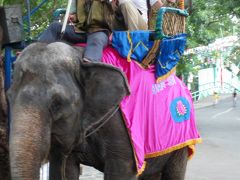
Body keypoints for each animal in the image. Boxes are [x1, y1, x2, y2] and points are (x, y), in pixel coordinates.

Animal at [7, 41, 189, 179]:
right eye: (9, 97)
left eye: (58, 103)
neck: (81, 58)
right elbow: (68, 168)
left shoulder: (123, 129)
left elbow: (122, 171)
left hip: (181, 145)